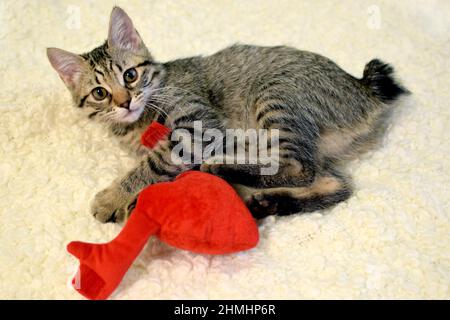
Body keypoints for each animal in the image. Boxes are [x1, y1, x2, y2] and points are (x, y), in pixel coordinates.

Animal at [45, 6, 408, 222]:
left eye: (130, 76)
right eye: (100, 93)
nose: (124, 102)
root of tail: (361, 86)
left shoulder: (196, 127)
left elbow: (151, 164)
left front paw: (113, 197)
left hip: (273, 96)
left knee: (298, 167)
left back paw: (226, 170)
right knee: (336, 185)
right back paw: (269, 203)